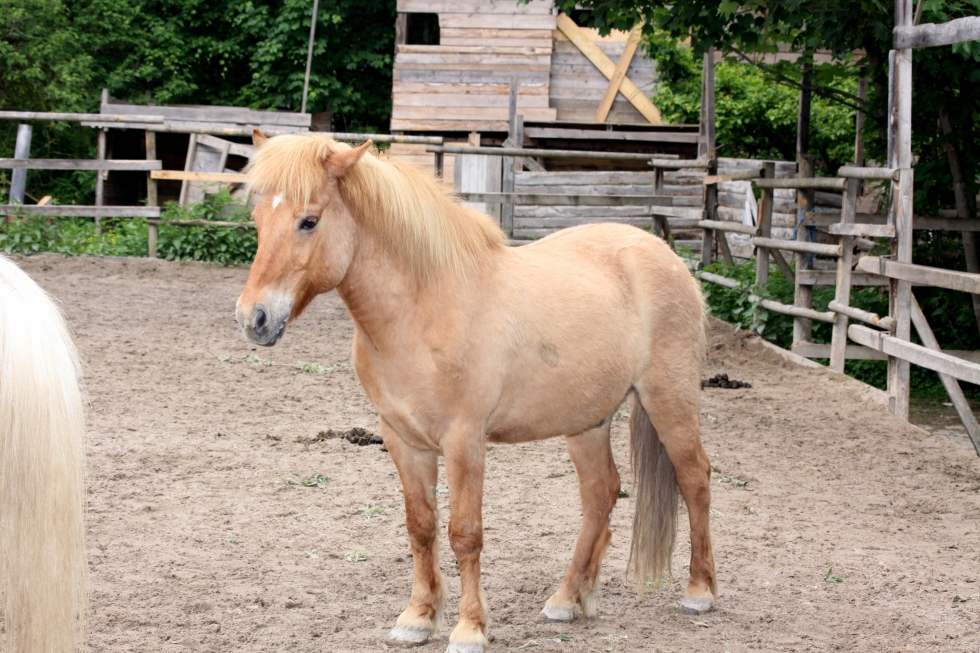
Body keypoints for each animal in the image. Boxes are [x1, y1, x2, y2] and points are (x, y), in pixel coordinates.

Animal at [236, 131, 716, 653]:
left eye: (309, 220)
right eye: (257, 218)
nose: (253, 318)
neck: (421, 308)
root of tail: (665, 255)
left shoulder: (464, 441)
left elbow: (464, 533)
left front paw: (469, 628)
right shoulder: (403, 439)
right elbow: (421, 527)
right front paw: (417, 617)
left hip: (669, 399)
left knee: (695, 478)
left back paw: (699, 591)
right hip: (587, 421)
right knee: (601, 494)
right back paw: (568, 598)